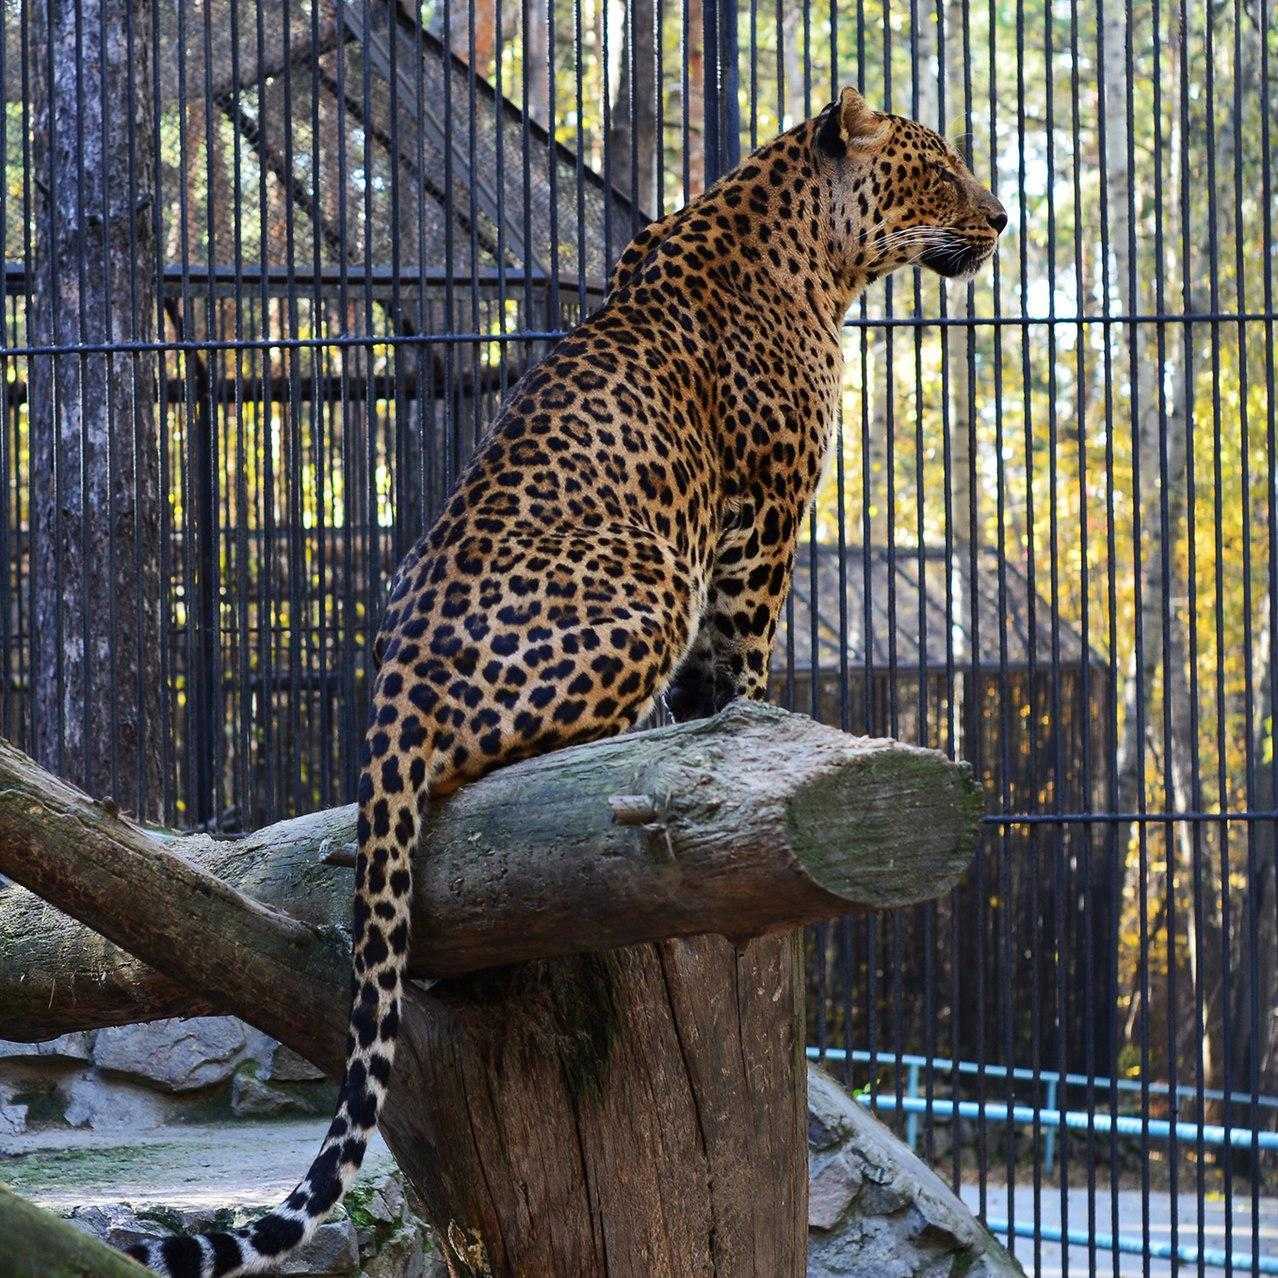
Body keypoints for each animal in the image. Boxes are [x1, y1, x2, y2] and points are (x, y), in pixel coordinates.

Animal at [124, 84, 1001, 1272]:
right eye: (938, 169)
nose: (1000, 219)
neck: (817, 256)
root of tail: (392, 693)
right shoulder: (760, 523)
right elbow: (745, 660)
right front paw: (749, 729)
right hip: (648, 584)